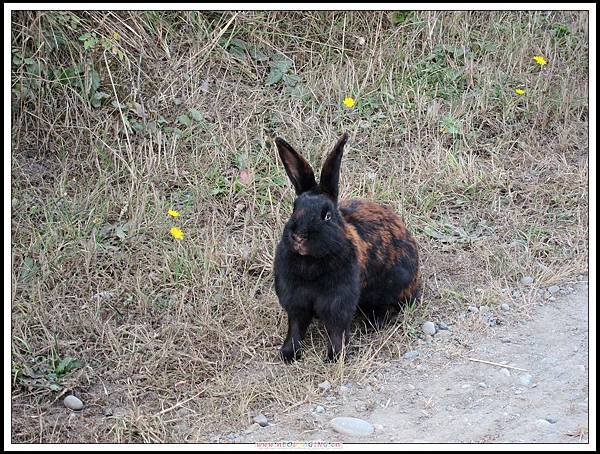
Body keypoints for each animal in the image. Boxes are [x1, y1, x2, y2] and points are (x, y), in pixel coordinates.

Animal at [274, 132, 420, 362]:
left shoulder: (339, 302)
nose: (298, 237)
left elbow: (337, 330)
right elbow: (295, 328)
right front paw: (288, 354)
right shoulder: (296, 302)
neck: (311, 262)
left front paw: (334, 357)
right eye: (294, 209)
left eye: (327, 215)